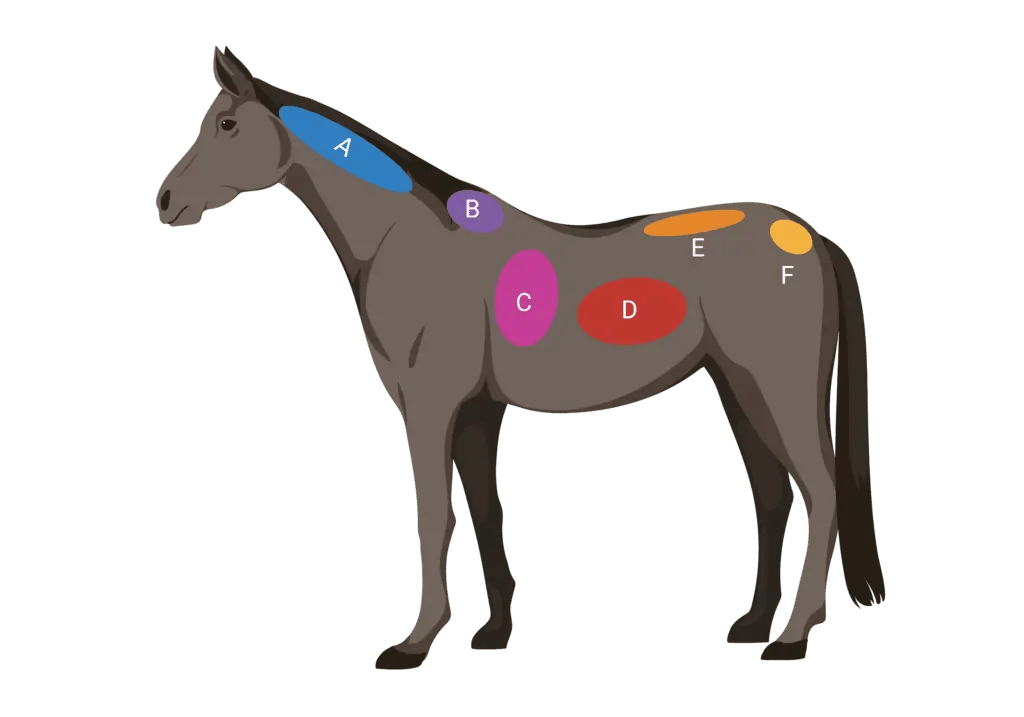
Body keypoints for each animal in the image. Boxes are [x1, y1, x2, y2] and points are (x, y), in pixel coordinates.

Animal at [155, 46, 886, 670]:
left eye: (226, 124)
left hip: (777, 388)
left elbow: (435, 516)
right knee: (772, 495)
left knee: (819, 491)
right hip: (738, 386)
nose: (165, 201)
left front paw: (415, 642)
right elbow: (485, 511)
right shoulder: (478, 409)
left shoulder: (430, 405)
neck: (406, 242)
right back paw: (753, 624)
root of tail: (809, 235)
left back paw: (793, 635)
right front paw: (493, 632)